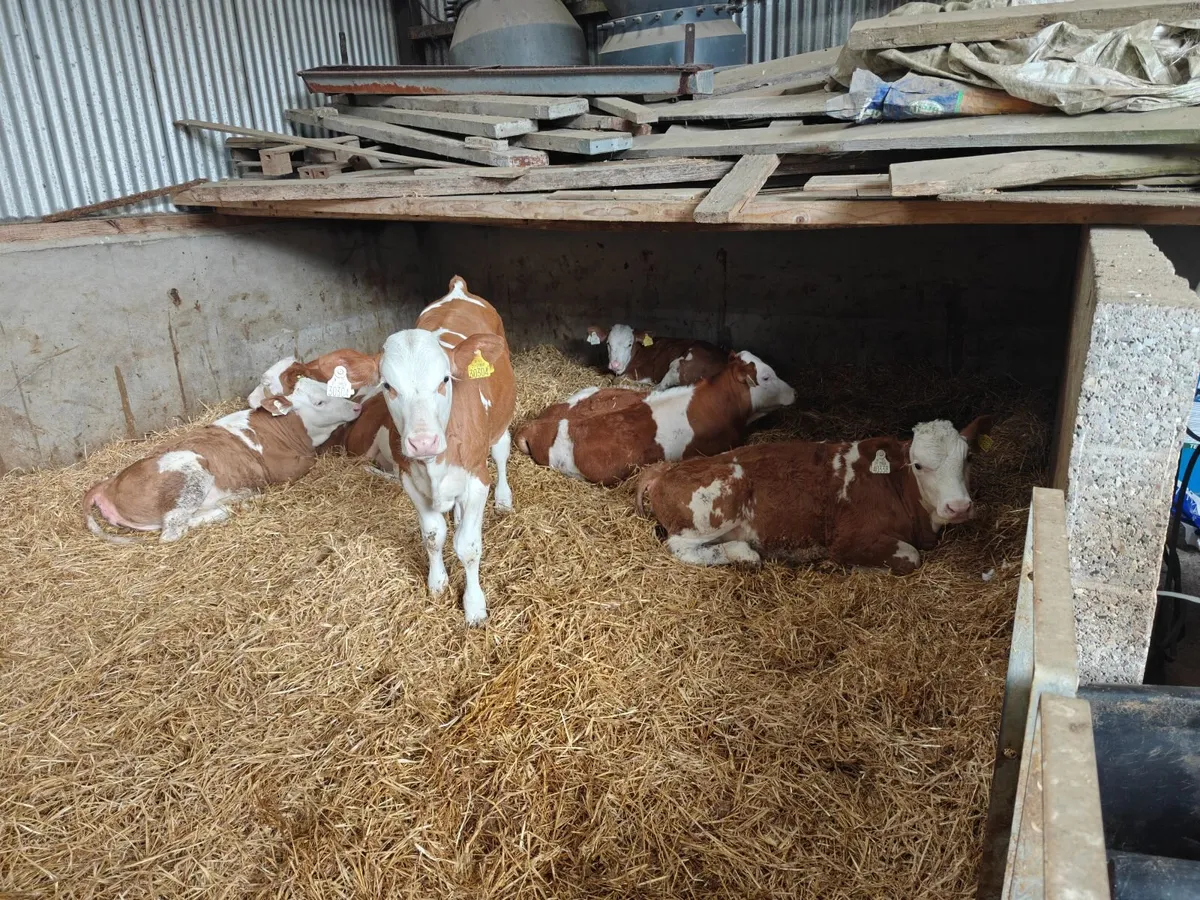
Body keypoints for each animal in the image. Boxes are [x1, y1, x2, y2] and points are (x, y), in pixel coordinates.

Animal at [84, 377, 362, 544]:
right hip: (190, 470)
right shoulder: (288, 469)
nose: (357, 407)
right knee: (173, 530)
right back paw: (236, 504)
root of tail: (108, 484)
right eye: (320, 402)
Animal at [378, 275, 516, 626]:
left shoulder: (477, 479)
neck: (433, 464)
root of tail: (458, 289)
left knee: (501, 454)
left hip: (499, 425)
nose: (423, 441)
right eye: (387, 386)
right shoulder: (410, 480)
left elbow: (467, 546)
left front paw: (474, 605)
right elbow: (433, 535)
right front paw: (437, 582)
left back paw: (504, 498)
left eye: (445, 379)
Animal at [587, 323, 728, 391]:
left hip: (678, 365)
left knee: (657, 388)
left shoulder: (643, 371)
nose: (615, 364)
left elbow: (617, 380)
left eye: (629, 344)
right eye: (608, 343)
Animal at [634, 416, 993, 574]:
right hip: (715, 507)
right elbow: (910, 556)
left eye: (969, 458)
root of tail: (664, 470)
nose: (958, 506)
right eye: (918, 465)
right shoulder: (847, 540)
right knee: (679, 546)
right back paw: (743, 553)